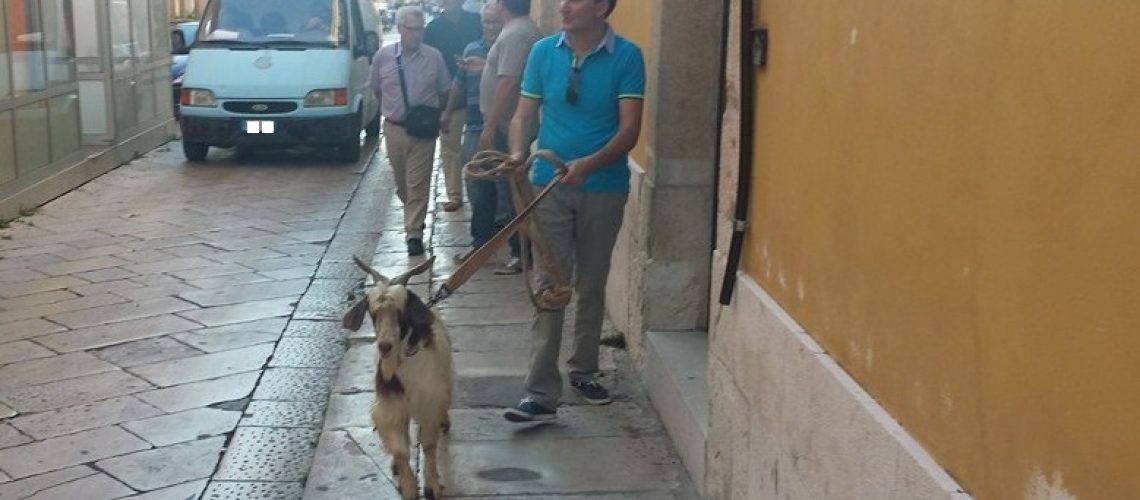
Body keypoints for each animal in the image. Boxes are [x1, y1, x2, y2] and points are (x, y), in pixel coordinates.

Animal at [342, 256, 453, 500]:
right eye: (373, 313)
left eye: (400, 312)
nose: (385, 346)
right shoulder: (390, 407)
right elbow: (401, 450)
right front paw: (408, 487)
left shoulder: (429, 402)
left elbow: (429, 444)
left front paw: (432, 485)